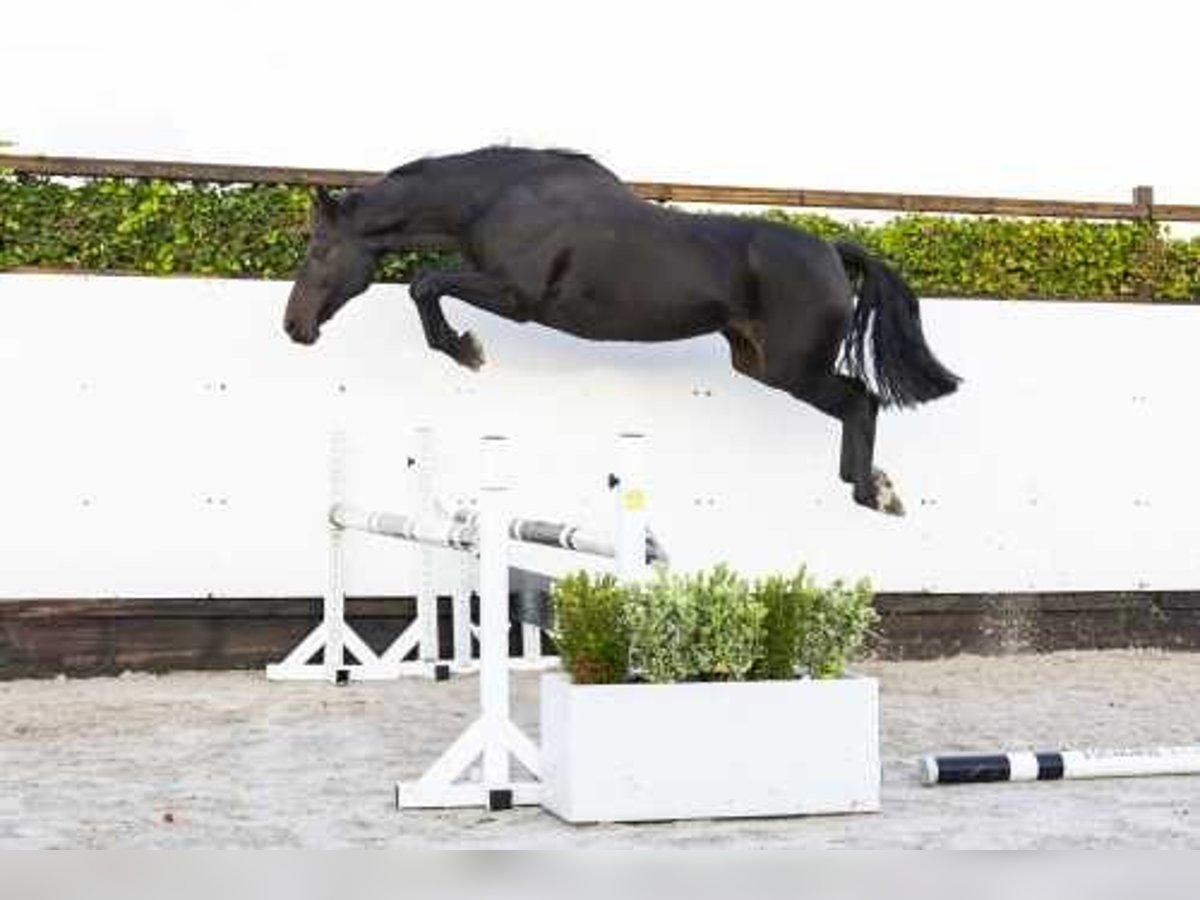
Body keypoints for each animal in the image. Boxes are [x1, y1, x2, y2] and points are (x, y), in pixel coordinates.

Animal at [285, 146, 960, 513]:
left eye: (318, 250)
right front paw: (463, 348)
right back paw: (868, 484)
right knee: (855, 405)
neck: (501, 197)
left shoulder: (518, 297)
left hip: (794, 369)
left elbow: (424, 284)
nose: (294, 327)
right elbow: (425, 287)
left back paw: (876, 494)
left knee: (862, 400)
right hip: (758, 364)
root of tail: (832, 251)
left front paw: (466, 350)